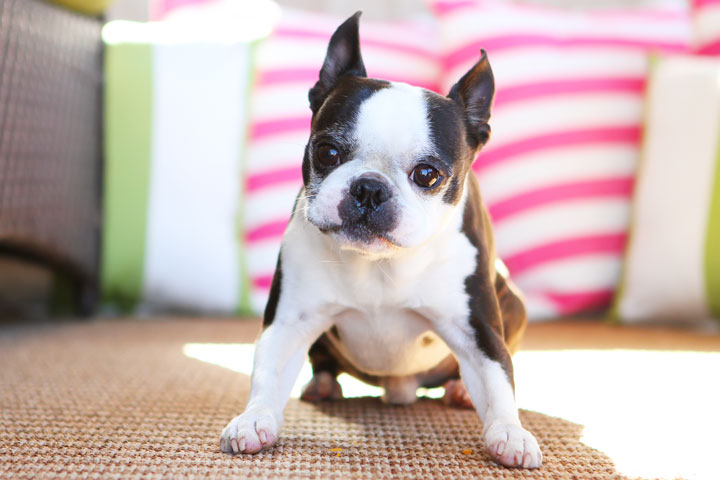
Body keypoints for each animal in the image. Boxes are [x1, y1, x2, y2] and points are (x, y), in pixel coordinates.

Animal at [219, 12, 540, 468]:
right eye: (328, 151)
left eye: (428, 175)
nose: (369, 188)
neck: (379, 263)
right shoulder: (290, 319)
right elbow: (268, 370)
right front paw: (253, 419)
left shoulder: (476, 328)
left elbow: (497, 378)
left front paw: (511, 433)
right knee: (322, 361)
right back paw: (323, 386)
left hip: (514, 301)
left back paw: (459, 391)